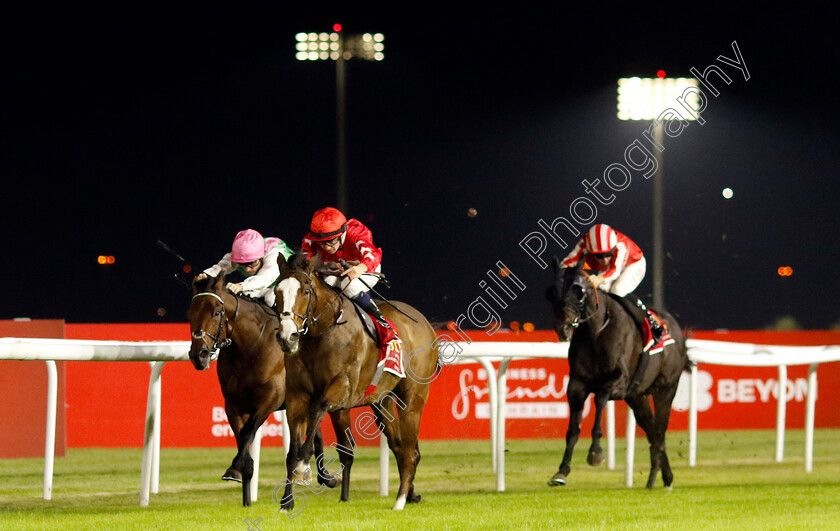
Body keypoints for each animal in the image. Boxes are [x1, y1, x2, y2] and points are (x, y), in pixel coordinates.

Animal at [189, 274, 346, 508]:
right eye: (190, 313)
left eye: (216, 312)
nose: (198, 355)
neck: (249, 347)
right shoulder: (233, 404)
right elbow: (242, 438)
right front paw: (245, 488)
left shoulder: (269, 399)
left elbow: (248, 433)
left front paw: (234, 469)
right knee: (315, 434)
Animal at [274, 254, 440, 512]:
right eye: (276, 291)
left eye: (306, 290)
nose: (287, 337)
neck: (323, 333)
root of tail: (424, 322)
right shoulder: (296, 397)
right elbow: (292, 451)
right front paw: (287, 501)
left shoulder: (341, 389)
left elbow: (318, 410)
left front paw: (307, 467)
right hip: (382, 401)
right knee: (400, 446)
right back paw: (410, 494)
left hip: (412, 400)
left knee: (410, 451)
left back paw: (400, 500)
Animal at [544, 258, 688, 490]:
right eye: (552, 292)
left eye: (578, 291)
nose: (563, 327)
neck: (595, 333)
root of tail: (675, 329)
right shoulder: (577, 385)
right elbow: (573, 430)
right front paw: (561, 472)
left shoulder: (618, 383)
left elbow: (600, 400)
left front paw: (595, 453)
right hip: (638, 397)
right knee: (653, 432)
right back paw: (659, 478)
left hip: (665, 390)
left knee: (659, 432)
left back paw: (659, 478)